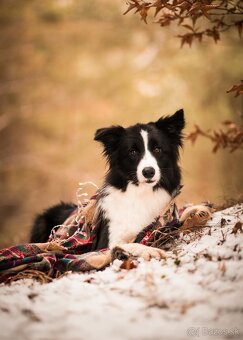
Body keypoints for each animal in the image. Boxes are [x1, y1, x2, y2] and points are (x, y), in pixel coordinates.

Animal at [30, 109, 186, 260]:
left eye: (158, 149)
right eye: (132, 152)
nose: (148, 172)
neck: (141, 192)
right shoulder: (105, 243)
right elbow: (129, 244)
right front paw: (150, 250)